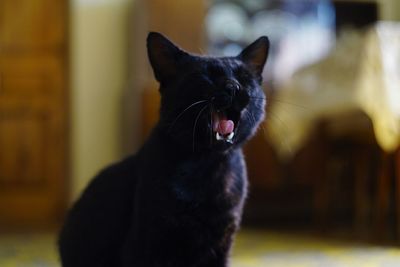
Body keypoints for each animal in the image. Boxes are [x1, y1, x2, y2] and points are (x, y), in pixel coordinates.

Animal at [57, 32, 270, 266]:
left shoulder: (221, 245)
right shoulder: (145, 244)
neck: (208, 166)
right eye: (206, 77)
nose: (232, 86)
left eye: (244, 78)